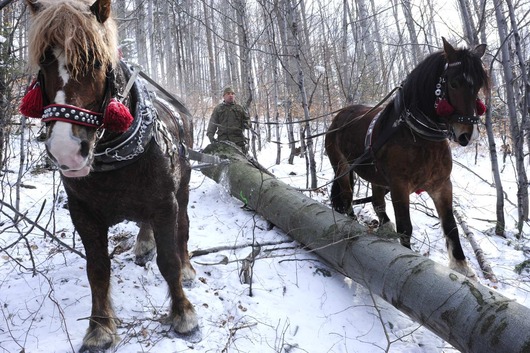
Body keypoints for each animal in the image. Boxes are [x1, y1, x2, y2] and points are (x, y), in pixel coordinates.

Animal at [20, 0, 198, 350]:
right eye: (45, 60)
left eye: (96, 60)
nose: (66, 149)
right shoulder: (83, 213)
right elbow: (98, 269)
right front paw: (100, 328)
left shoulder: (165, 205)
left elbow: (168, 260)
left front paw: (182, 313)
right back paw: (144, 242)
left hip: (182, 189)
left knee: (183, 228)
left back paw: (186, 268)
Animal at [324, 38, 488, 280]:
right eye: (454, 83)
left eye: (477, 86)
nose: (468, 134)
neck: (419, 135)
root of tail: (339, 116)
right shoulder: (400, 186)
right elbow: (405, 227)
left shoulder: (441, 185)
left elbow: (450, 225)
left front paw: (461, 266)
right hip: (342, 167)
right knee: (347, 196)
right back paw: (352, 222)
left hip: (378, 178)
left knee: (377, 201)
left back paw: (384, 226)